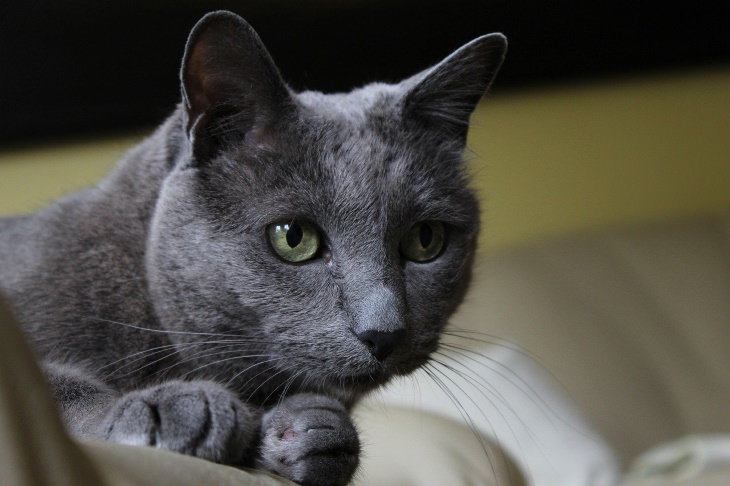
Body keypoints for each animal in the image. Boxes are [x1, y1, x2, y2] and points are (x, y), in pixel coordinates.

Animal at [0, 11, 504, 486]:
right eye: (293, 237)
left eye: (426, 240)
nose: (384, 332)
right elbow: (51, 386)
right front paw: (174, 409)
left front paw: (310, 428)